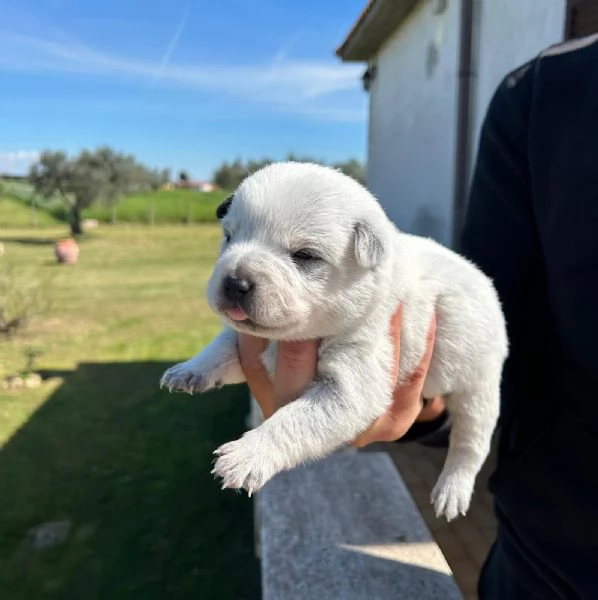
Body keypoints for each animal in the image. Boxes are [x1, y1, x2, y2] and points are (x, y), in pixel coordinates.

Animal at [162, 161, 508, 520]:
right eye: (229, 237)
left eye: (304, 255)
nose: (234, 282)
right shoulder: (252, 345)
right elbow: (223, 344)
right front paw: (190, 369)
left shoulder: (355, 377)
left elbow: (294, 420)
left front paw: (247, 454)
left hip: (479, 385)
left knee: (470, 442)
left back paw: (453, 490)